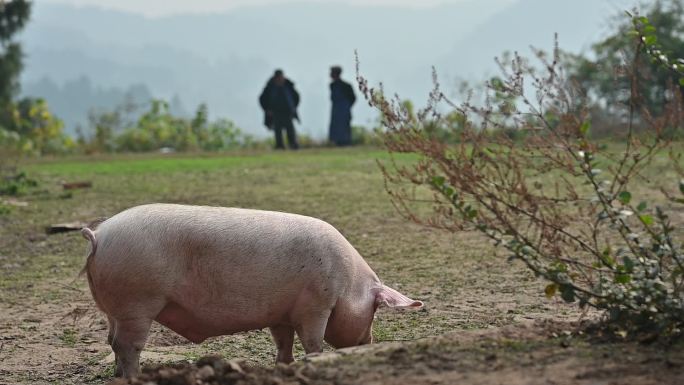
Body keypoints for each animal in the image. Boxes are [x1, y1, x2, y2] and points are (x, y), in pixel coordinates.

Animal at [80, 202, 422, 376]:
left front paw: (283, 367)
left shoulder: (282, 313)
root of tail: (98, 235)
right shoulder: (316, 305)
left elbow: (283, 343)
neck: (348, 283)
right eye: (375, 310)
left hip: (114, 309)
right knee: (128, 346)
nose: (369, 342)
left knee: (112, 342)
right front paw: (315, 360)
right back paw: (136, 377)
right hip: (138, 302)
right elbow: (313, 342)